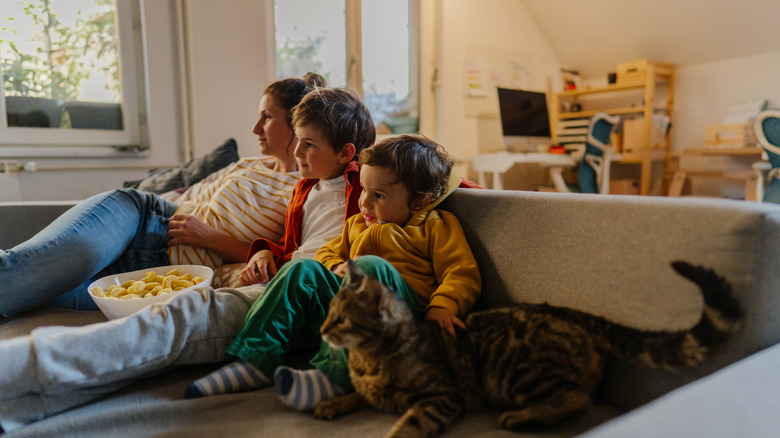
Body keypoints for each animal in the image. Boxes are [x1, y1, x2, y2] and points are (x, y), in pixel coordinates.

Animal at [312, 262, 744, 436]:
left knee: (576, 400)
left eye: (342, 319)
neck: (367, 359)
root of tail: (575, 314)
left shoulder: (442, 397)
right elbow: (356, 395)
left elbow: (409, 424)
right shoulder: (368, 389)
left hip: (508, 370)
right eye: (328, 313)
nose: (321, 329)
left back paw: (523, 419)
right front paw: (333, 403)